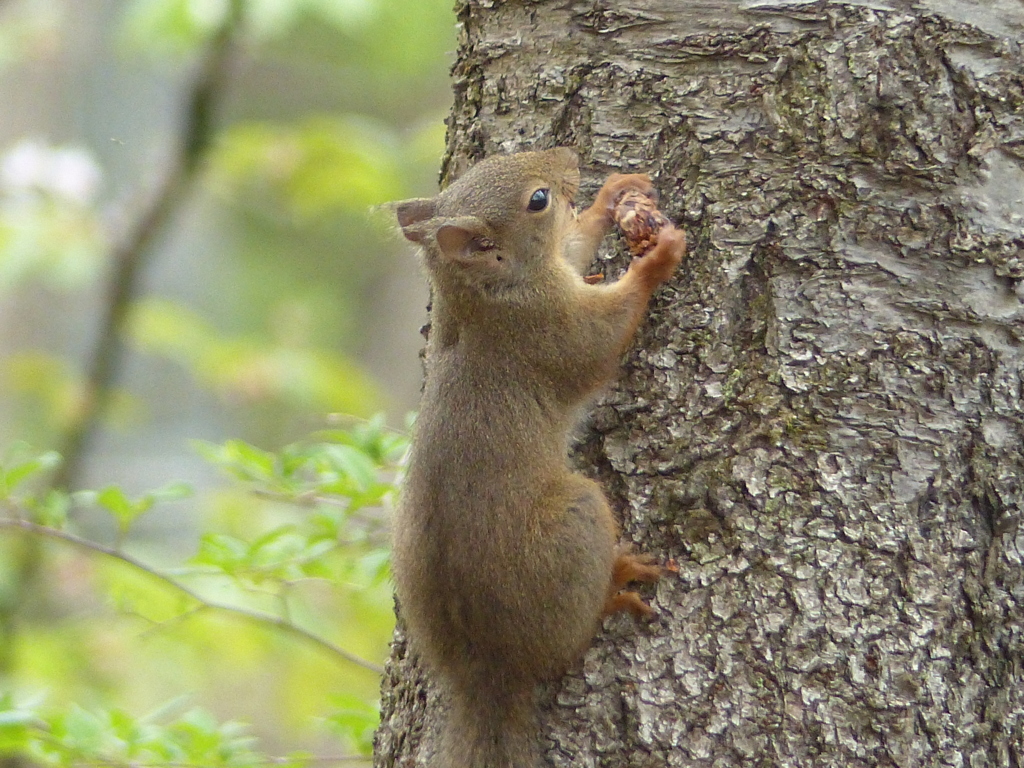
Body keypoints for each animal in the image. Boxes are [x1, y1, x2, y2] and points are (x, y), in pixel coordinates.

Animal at [391, 147, 688, 765]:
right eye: (537, 200)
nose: (570, 158)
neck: (481, 296)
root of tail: (491, 668)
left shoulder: (556, 272)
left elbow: (574, 247)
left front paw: (610, 198)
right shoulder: (546, 326)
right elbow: (598, 340)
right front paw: (656, 260)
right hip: (576, 518)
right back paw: (618, 579)